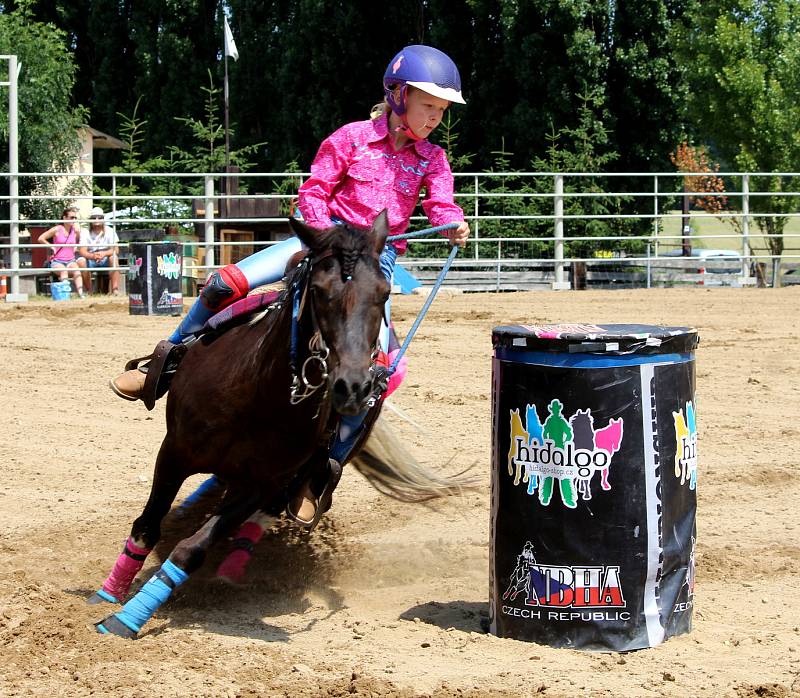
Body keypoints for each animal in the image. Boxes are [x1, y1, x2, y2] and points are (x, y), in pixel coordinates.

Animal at [90, 211, 472, 636]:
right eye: (319, 290)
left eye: (385, 292)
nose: (354, 386)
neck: (255, 395)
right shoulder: (174, 452)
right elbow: (147, 524)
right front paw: (109, 596)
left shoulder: (262, 484)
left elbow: (193, 548)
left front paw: (129, 617)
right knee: (224, 284)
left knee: (269, 510)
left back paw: (236, 561)